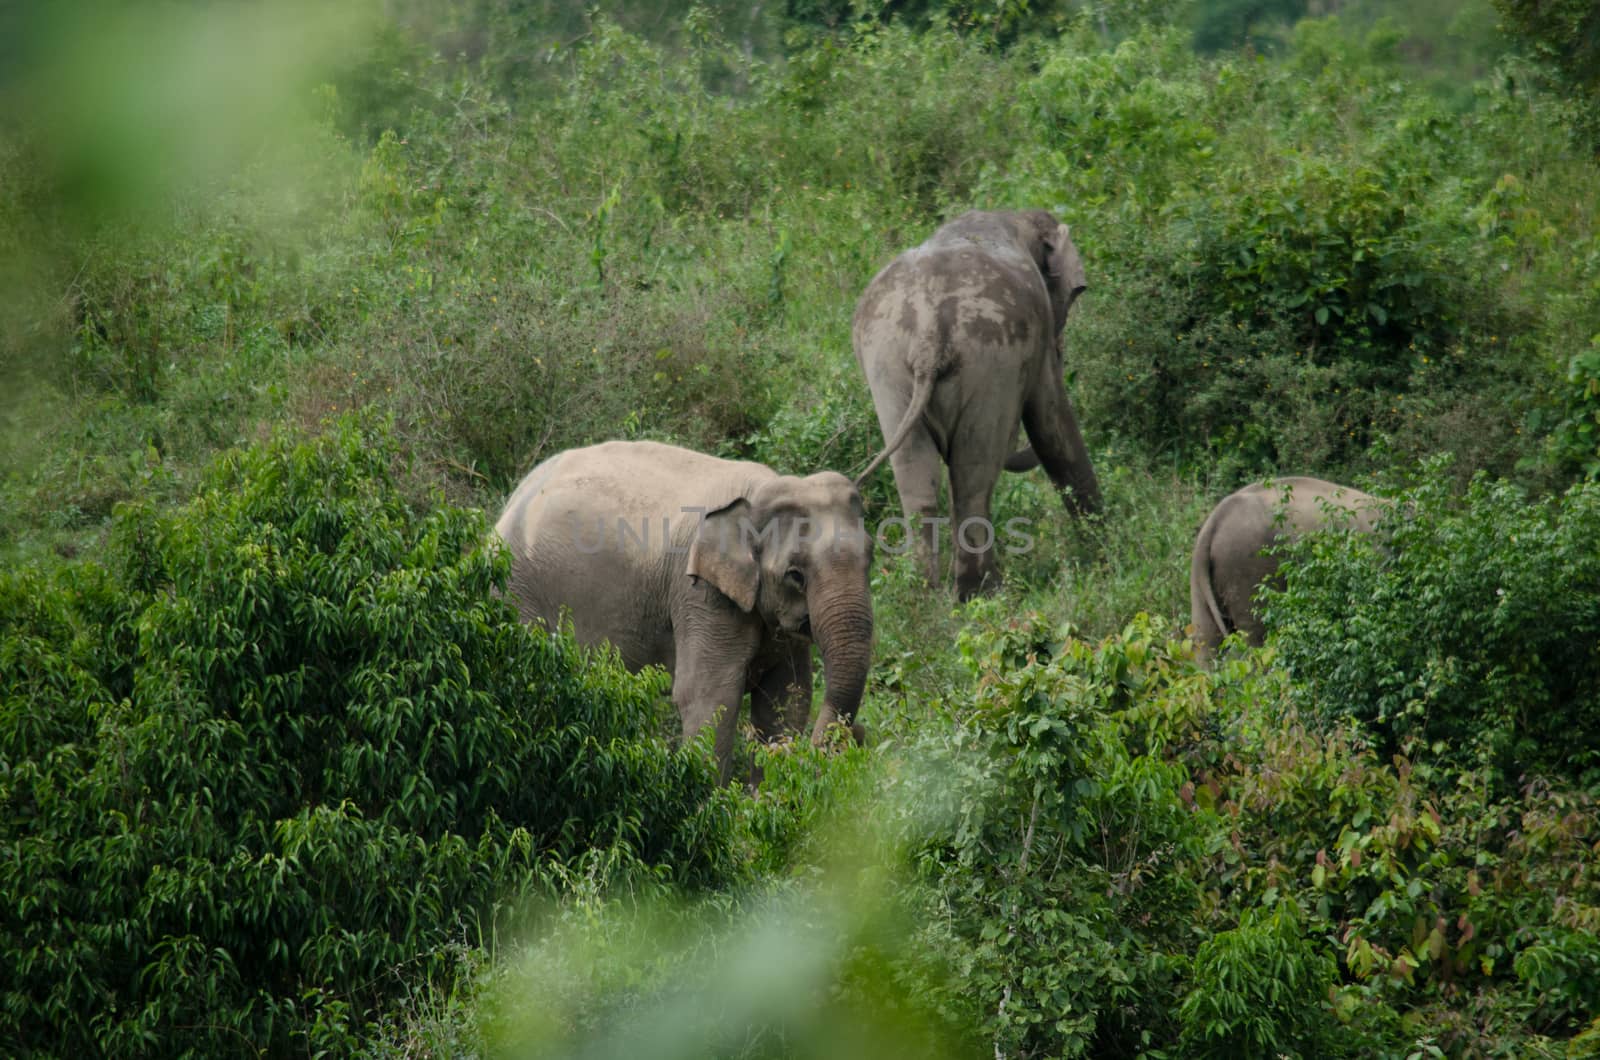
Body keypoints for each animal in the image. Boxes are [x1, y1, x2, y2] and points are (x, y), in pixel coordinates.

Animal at [496, 438, 876, 781]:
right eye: (795, 575)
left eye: (871, 557)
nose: (858, 733)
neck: (760, 491)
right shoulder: (700, 594)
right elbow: (709, 696)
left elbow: (786, 697)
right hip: (518, 590)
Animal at [857, 209, 1107, 605]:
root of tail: (929, 336)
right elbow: (1051, 425)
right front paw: (1105, 550)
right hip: (991, 361)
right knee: (973, 477)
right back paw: (984, 595)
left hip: (887, 364)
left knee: (917, 480)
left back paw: (925, 595)